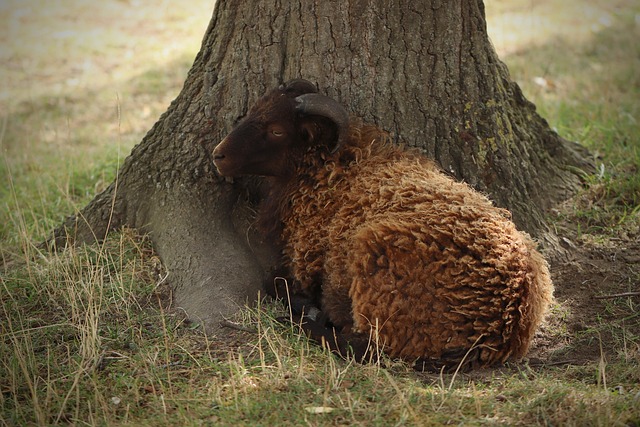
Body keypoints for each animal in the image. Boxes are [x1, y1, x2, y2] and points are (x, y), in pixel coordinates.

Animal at [212, 79, 554, 369]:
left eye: (277, 131)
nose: (218, 156)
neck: (337, 171)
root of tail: (506, 318)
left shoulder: (307, 263)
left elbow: (275, 282)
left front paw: (306, 307)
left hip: (380, 279)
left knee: (367, 348)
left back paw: (308, 321)